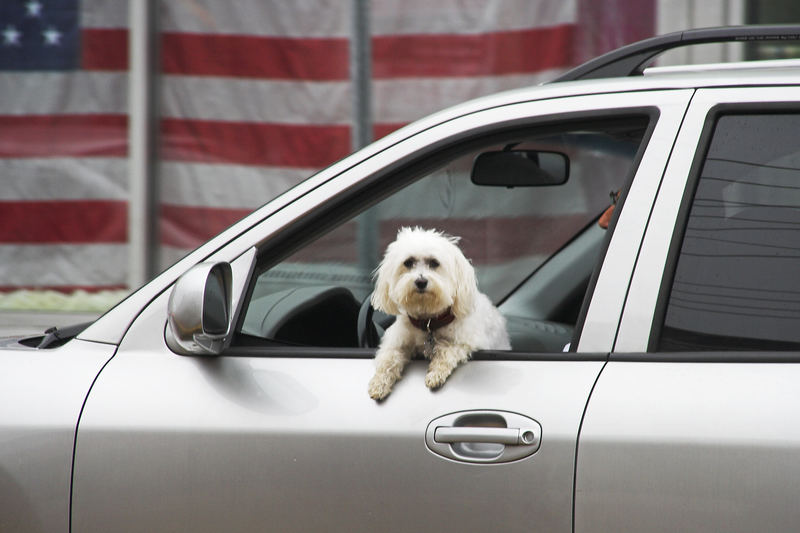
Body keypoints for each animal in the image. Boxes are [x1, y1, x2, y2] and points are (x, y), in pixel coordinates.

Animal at [368, 227, 510, 402]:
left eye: (434, 263)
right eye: (408, 262)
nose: (421, 281)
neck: (428, 321)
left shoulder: (467, 342)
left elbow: (447, 351)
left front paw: (435, 374)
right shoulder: (397, 340)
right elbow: (388, 358)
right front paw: (379, 383)